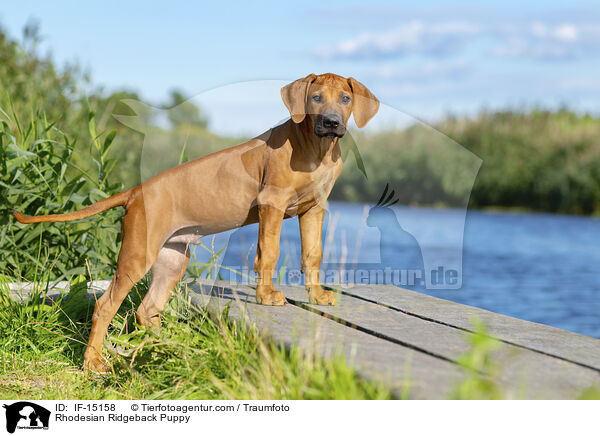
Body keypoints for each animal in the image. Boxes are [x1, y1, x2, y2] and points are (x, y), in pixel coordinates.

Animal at [11, 72, 380, 372]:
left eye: (345, 99)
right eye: (315, 98)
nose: (331, 122)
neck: (317, 148)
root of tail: (136, 191)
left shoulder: (314, 209)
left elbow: (312, 255)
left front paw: (316, 296)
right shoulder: (271, 205)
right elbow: (269, 253)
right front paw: (266, 296)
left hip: (173, 258)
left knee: (147, 309)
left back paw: (169, 347)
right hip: (139, 253)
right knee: (105, 306)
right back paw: (93, 364)